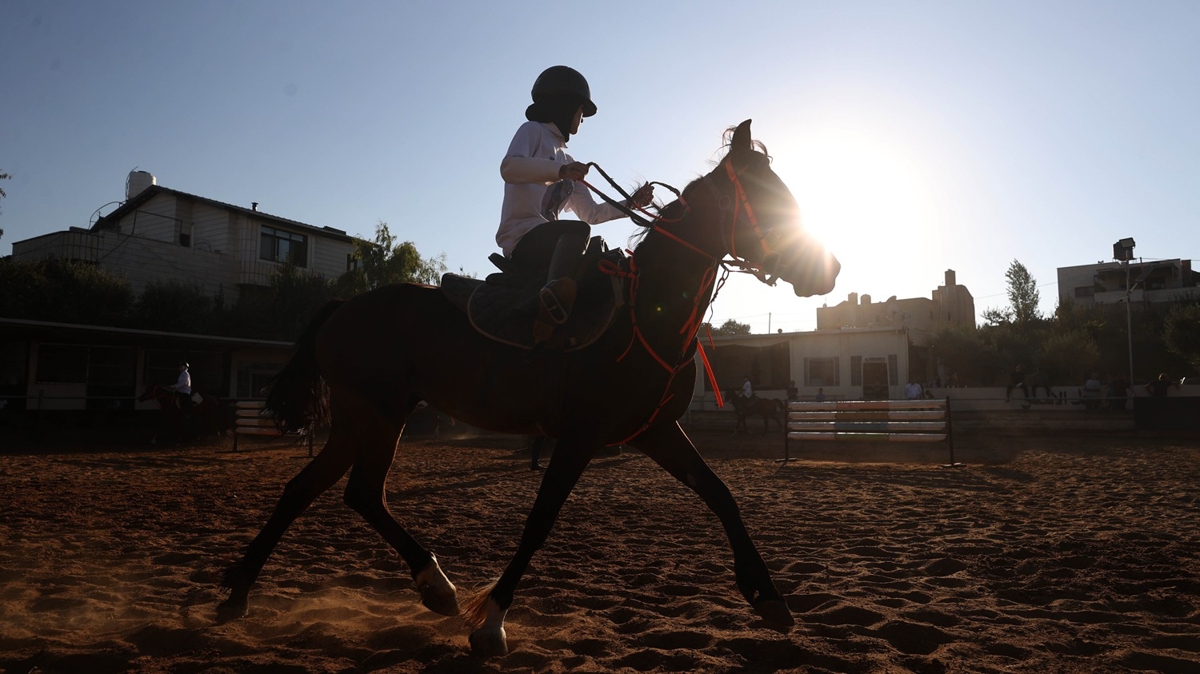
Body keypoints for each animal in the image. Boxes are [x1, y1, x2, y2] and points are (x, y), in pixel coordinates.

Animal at [216, 118, 840, 652]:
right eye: (763, 194)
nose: (828, 270)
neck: (643, 314)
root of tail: (344, 307)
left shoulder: (656, 431)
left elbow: (721, 495)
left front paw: (769, 597)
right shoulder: (581, 436)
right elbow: (540, 521)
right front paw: (491, 621)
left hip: (358, 417)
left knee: (309, 489)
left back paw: (241, 595)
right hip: (380, 414)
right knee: (360, 492)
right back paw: (436, 586)